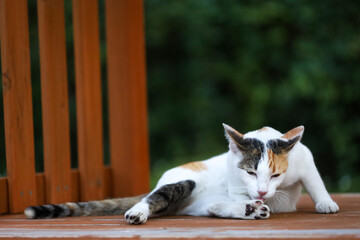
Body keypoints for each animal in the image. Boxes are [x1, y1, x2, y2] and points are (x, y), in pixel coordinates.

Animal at [24, 124, 338, 224]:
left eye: (274, 176)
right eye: (250, 172)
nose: (261, 192)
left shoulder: (304, 157)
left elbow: (315, 181)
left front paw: (325, 202)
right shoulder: (237, 180)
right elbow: (239, 191)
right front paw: (250, 201)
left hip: (199, 204)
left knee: (212, 207)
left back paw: (250, 210)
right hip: (181, 183)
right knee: (152, 198)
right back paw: (137, 213)